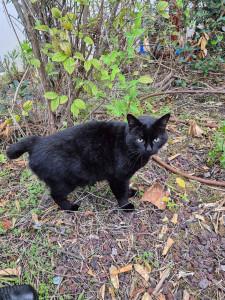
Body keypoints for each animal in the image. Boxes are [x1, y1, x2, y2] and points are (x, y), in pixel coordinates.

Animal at [6, 113, 170, 212]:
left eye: (156, 139)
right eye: (140, 139)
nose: (149, 149)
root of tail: (37, 141)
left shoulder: (124, 177)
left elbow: (126, 187)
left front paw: (130, 192)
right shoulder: (118, 177)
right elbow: (120, 192)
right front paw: (126, 205)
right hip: (64, 182)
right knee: (56, 196)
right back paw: (71, 208)